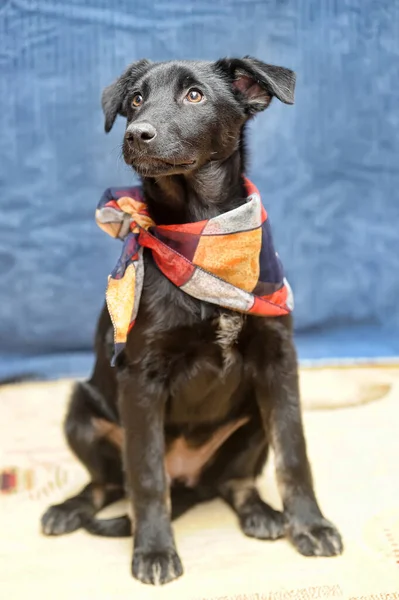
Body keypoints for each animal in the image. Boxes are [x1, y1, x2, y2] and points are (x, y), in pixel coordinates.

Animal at [43, 58, 344, 584]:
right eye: (135, 100)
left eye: (195, 96)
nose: (135, 134)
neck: (201, 233)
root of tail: (190, 478)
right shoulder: (141, 377)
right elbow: (145, 476)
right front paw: (155, 551)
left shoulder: (278, 362)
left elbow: (293, 453)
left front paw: (309, 524)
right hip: (80, 411)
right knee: (110, 482)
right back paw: (70, 508)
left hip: (250, 422)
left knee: (234, 481)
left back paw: (262, 514)